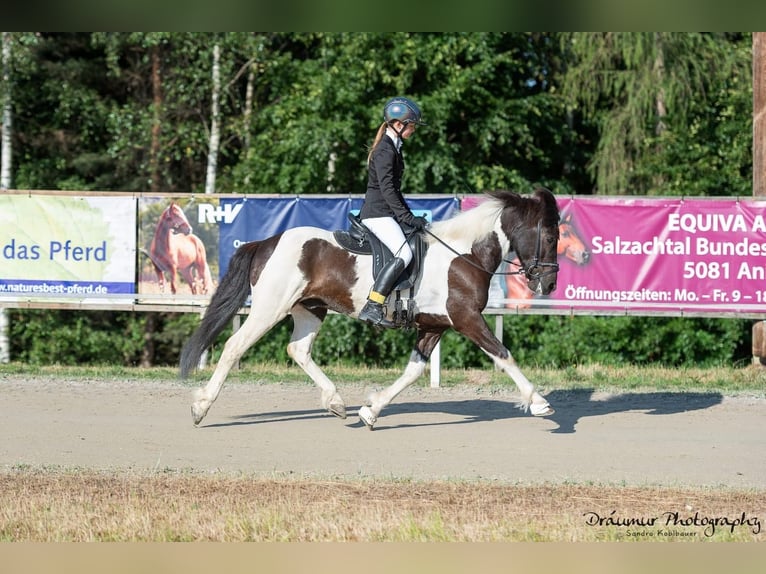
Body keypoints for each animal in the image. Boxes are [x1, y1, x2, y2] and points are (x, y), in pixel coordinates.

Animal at [182, 189, 564, 432]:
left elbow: (413, 371)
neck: (463, 254)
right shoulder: (466, 318)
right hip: (270, 308)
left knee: (298, 350)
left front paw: (371, 410)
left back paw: (335, 402)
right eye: (550, 237)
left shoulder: (434, 325)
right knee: (235, 347)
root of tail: (266, 241)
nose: (548, 284)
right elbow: (503, 354)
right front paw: (539, 402)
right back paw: (200, 407)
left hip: (310, 309)